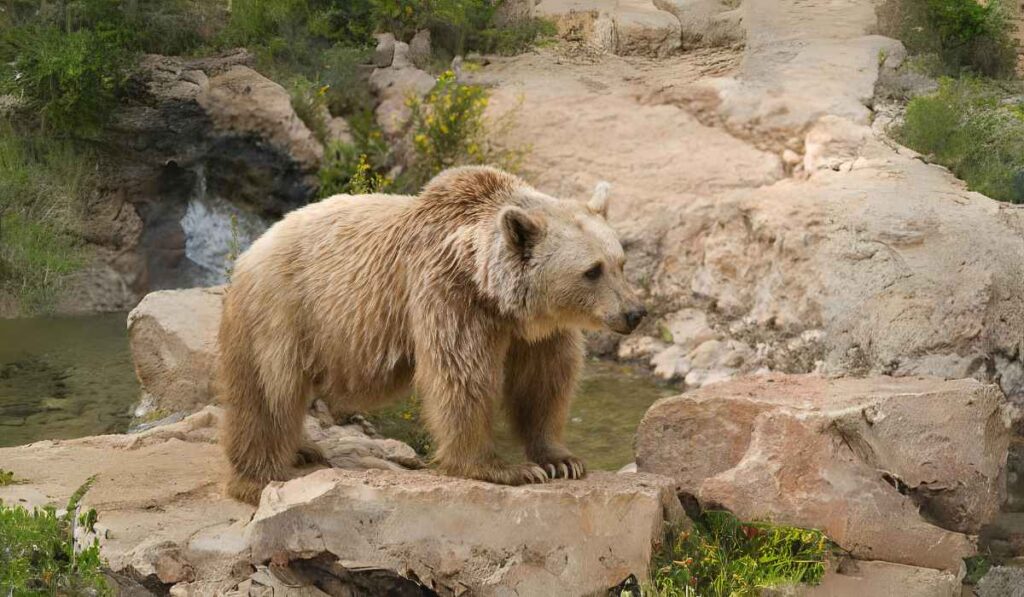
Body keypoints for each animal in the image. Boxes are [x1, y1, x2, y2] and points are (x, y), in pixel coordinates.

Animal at [219, 164, 647, 503]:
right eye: (592, 270)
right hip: (283, 313)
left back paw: (302, 449)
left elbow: (543, 382)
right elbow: (461, 377)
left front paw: (561, 460)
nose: (635, 312)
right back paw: (258, 477)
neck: (490, 288)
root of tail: (253, 247)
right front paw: (505, 469)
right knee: (268, 394)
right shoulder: (448, 295)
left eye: (620, 262)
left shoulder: (536, 331)